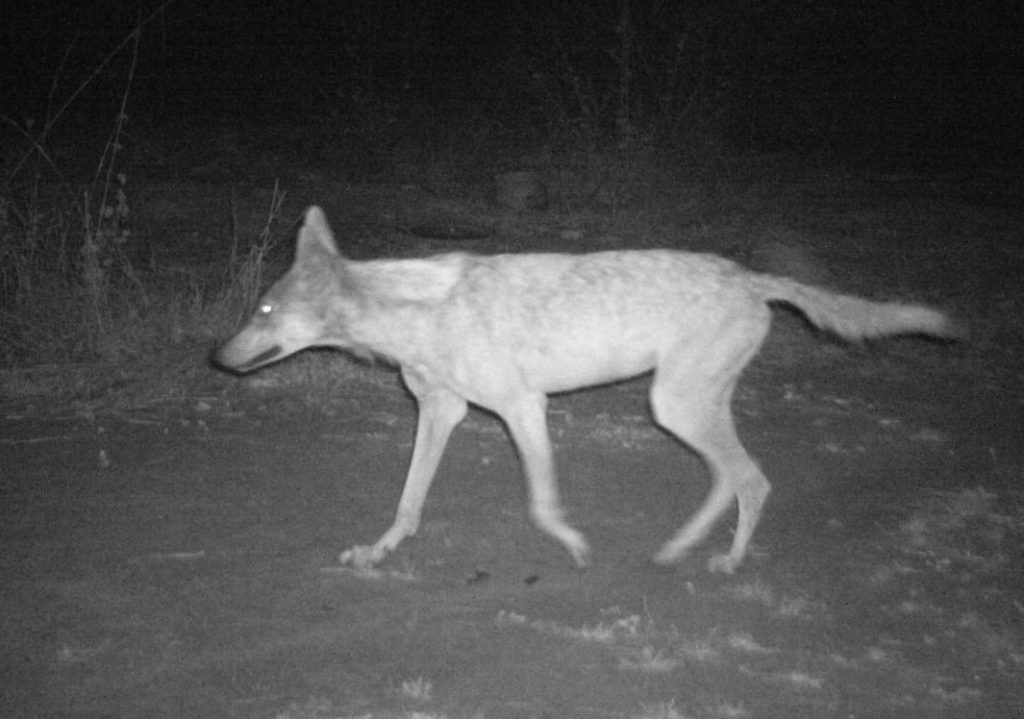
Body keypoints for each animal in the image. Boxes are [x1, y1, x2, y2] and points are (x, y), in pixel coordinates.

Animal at [215, 206, 962, 573]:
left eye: (264, 310)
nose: (217, 356)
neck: (411, 314)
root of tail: (752, 277)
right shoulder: (440, 411)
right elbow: (407, 504)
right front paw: (377, 552)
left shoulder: (523, 409)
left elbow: (543, 504)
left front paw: (573, 546)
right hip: (683, 407)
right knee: (733, 477)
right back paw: (683, 549)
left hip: (674, 406)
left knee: (752, 479)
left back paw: (722, 559)